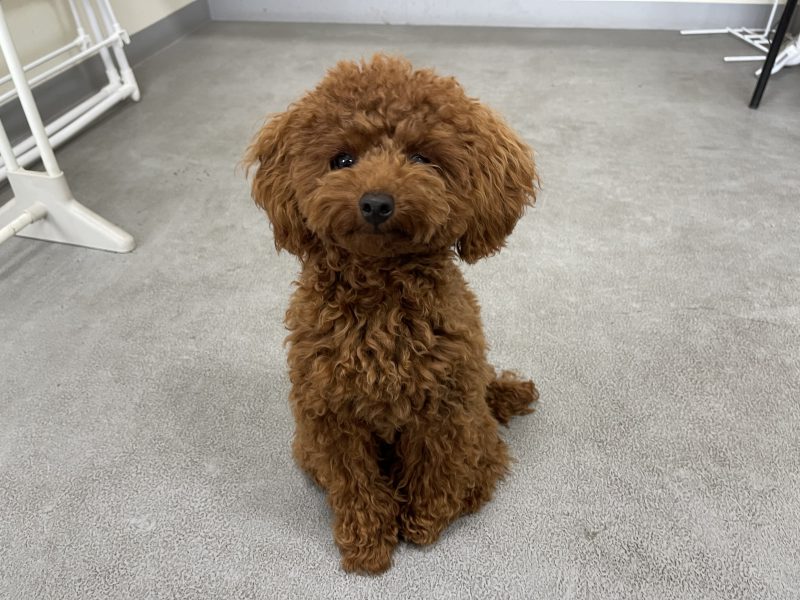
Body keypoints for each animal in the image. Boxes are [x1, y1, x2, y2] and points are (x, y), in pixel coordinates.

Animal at [246, 54, 538, 574]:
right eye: (342, 160)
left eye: (421, 158)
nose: (377, 203)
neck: (380, 296)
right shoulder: (331, 417)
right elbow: (356, 484)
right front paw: (368, 543)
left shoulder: (441, 411)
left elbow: (433, 473)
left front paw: (423, 524)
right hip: (307, 444)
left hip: (474, 417)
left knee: (485, 466)